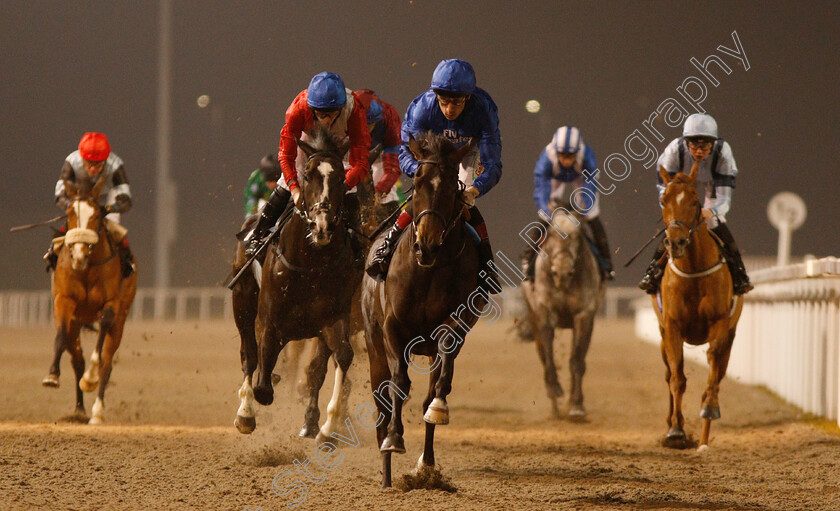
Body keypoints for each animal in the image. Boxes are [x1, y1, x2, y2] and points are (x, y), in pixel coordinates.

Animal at [42, 175, 137, 424]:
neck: (87, 268)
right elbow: (60, 336)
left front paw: (90, 378)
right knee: (77, 360)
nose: (79, 254)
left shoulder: (111, 303)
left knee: (108, 361)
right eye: (70, 213)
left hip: (121, 320)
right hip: (76, 322)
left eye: (95, 215)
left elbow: (103, 332)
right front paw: (52, 375)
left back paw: (96, 411)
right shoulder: (64, 300)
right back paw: (79, 409)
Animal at [230, 126, 360, 442]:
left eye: (341, 177)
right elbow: (262, 380)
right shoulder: (269, 321)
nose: (323, 225)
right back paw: (245, 412)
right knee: (248, 354)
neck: (310, 263)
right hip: (242, 301)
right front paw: (251, 407)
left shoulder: (334, 318)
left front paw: (327, 426)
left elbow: (340, 357)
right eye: (308, 175)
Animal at [362, 134, 486, 490]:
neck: (428, 271)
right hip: (374, 345)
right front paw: (394, 439)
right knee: (381, 400)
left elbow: (437, 384)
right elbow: (398, 385)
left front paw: (439, 408)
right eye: (416, 181)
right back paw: (386, 472)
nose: (427, 245)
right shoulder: (392, 329)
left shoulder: (457, 322)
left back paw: (425, 465)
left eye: (451, 185)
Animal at [520, 200, 604, 420]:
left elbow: (577, 361)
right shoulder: (544, 312)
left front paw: (576, 405)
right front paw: (554, 389)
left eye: (578, 235)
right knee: (542, 354)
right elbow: (548, 355)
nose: (562, 272)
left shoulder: (584, 315)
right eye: (551, 234)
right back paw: (555, 407)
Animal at [656, 164, 740, 448]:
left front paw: (709, 408)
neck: (693, 272)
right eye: (664, 200)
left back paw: (704, 437)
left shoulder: (720, 323)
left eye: (694, 201)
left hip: (731, 333)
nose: (676, 242)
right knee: (669, 374)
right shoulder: (671, 327)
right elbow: (677, 378)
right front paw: (675, 430)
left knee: (720, 371)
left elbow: (713, 366)